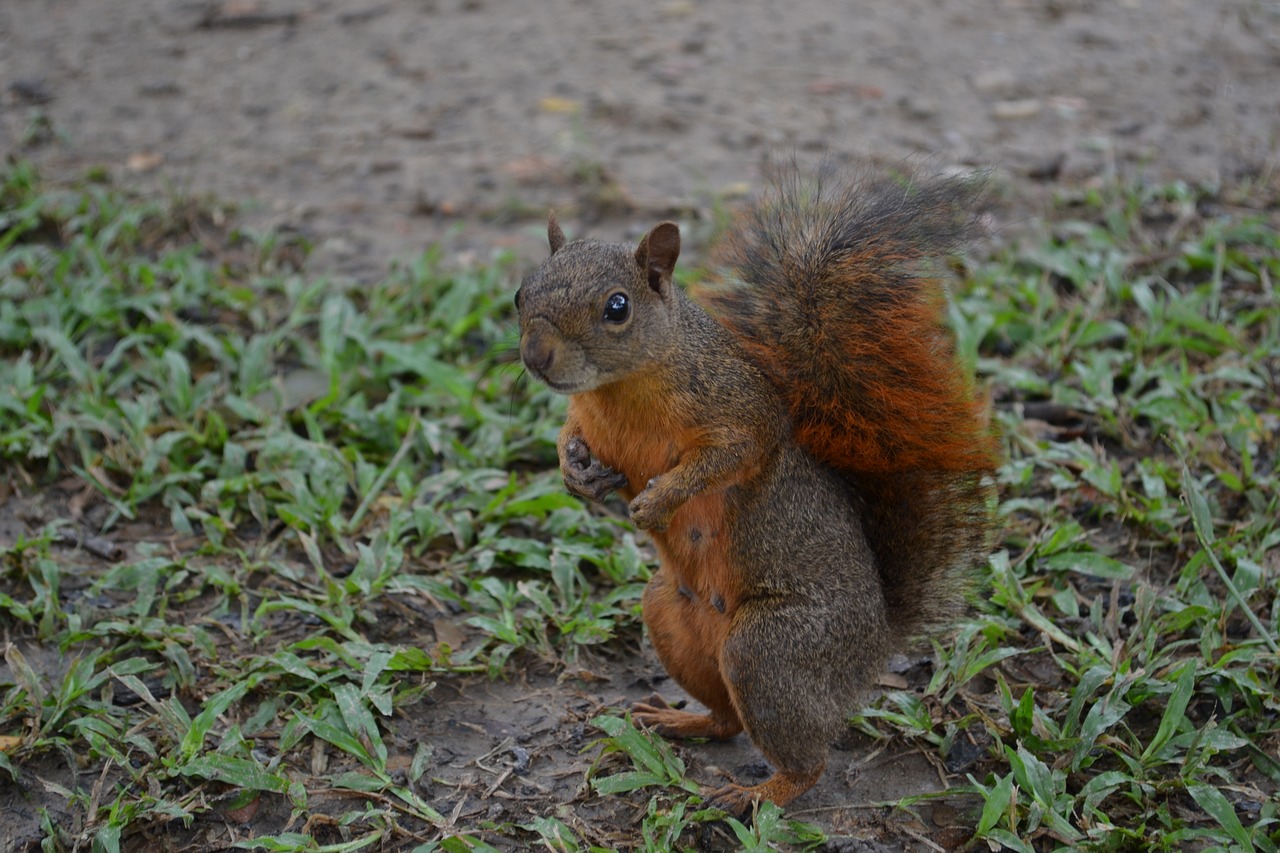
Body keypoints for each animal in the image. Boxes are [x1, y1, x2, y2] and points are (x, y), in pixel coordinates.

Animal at [512, 166, 998, 809]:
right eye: (521, 294)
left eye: (617, 307)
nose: (536, 357)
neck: (620, 389)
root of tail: (876, 642)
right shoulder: (586, 415)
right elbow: (569, 435)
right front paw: (575, 473)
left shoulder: (741, 411)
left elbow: (730, 456)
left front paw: (658, 500)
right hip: (670, 616)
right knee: (727, 720)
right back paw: (682, 721)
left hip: (767, 652)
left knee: (806, 761)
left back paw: (758, 795)